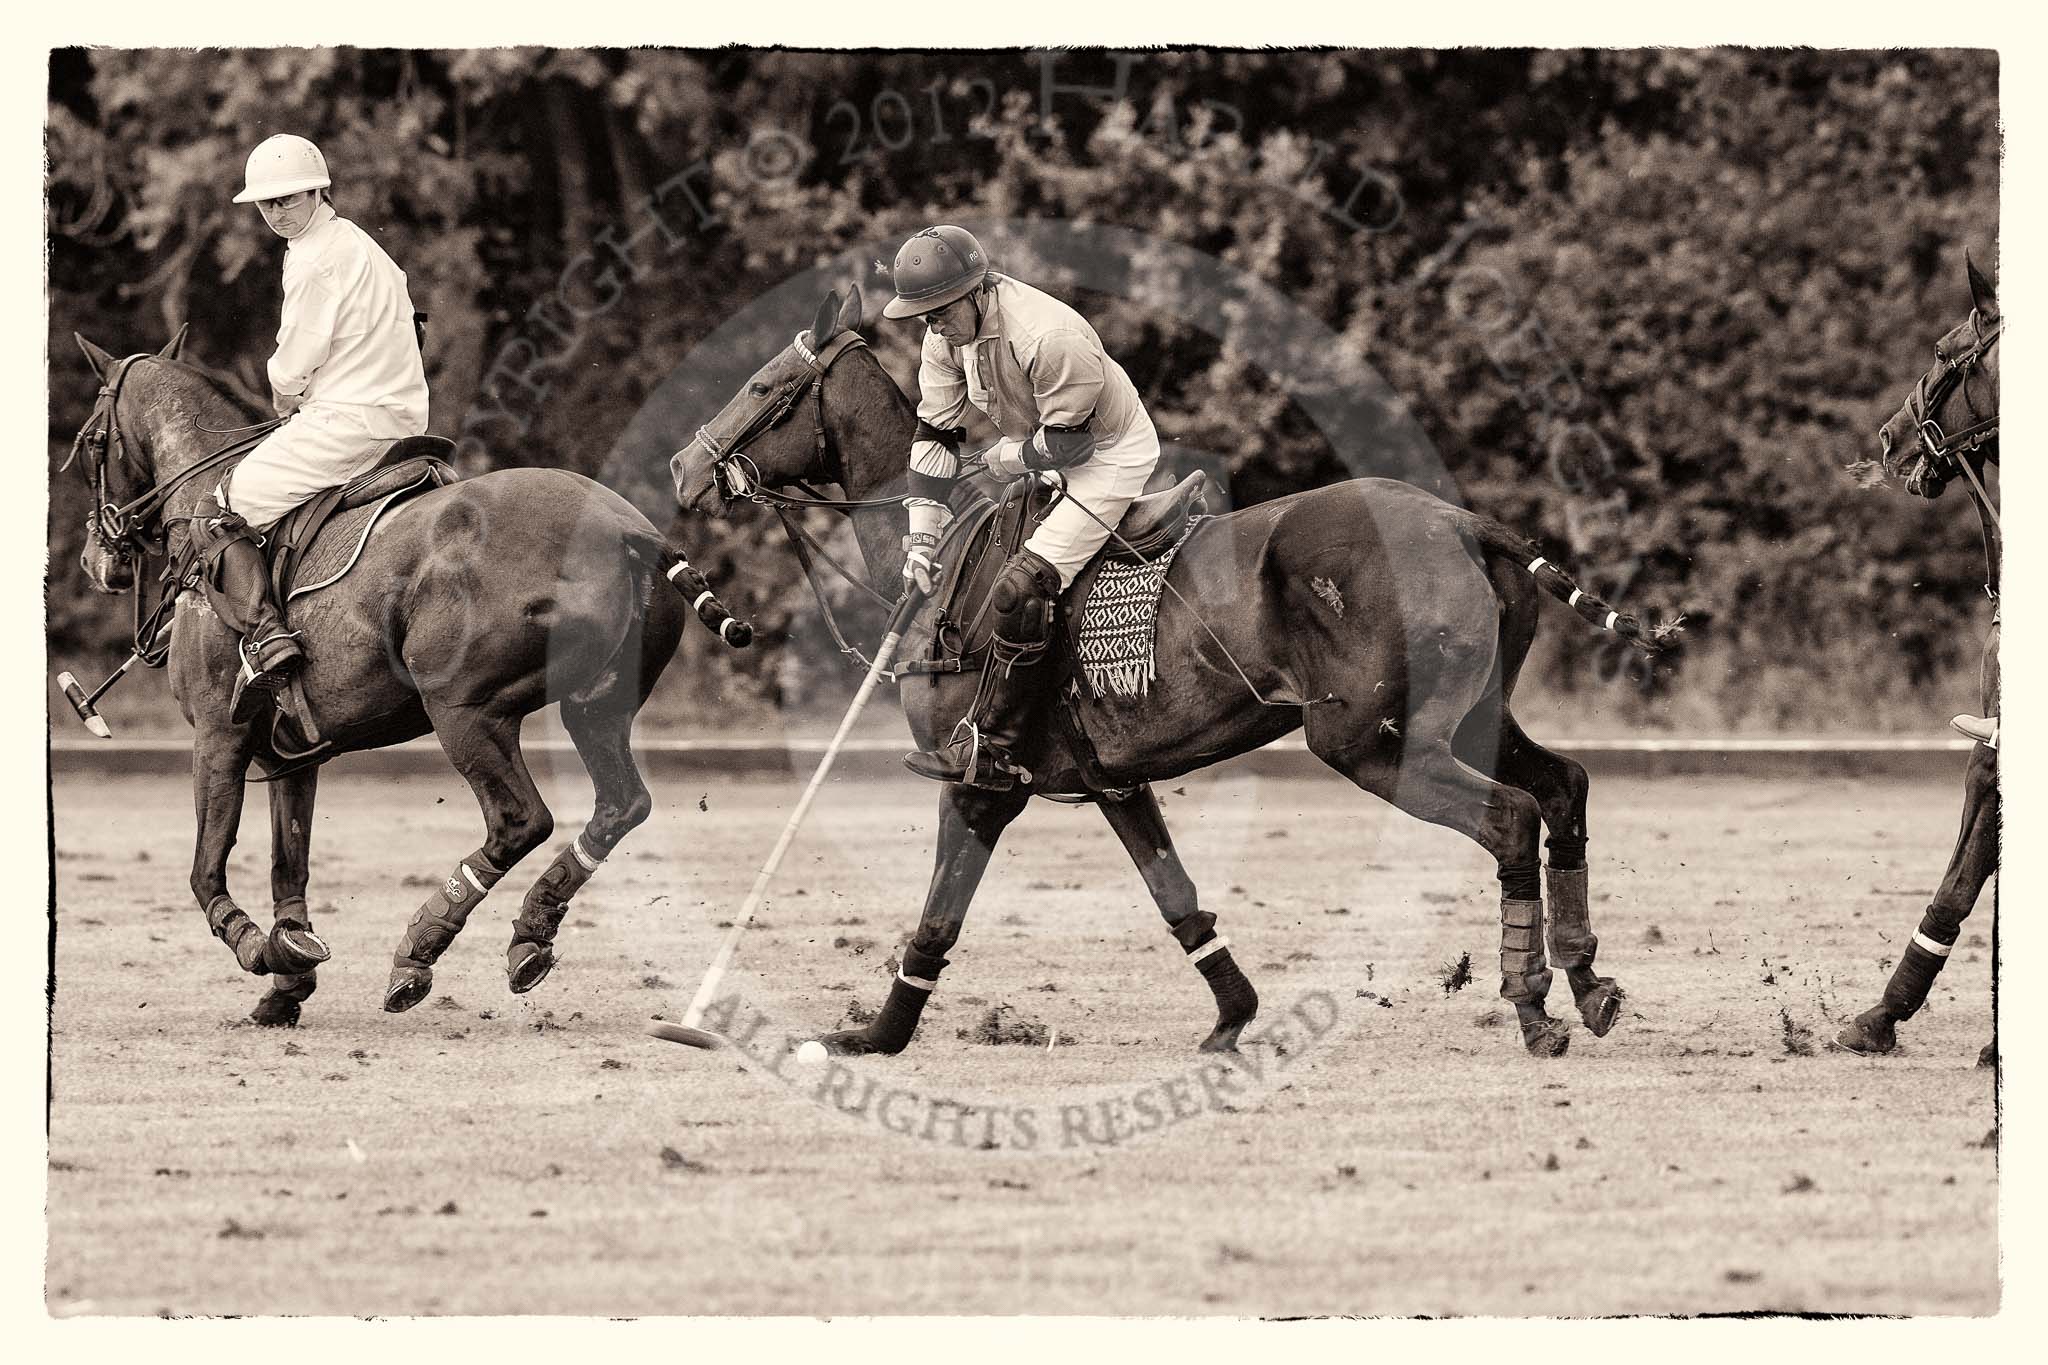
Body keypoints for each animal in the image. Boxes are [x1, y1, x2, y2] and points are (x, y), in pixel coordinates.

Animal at [66, 333, 753, 1023]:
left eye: (89, 440)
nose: (97, 560)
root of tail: (630, 530)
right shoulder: (289, 754)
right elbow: (290, 864)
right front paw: (287, 975)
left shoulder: (217, 735)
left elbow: (206, 870)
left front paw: (259, 950)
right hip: (596, 706)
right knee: (621, 805)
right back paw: (530, 933)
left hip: (464, 708)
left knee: (520, 821)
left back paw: (419, 949)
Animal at [675, 286, 1679, 1055]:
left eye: (762, 385)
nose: (685, 467)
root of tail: (1466, 521)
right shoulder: (1114, 779)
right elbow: (1178, 896)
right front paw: (1233, 1018)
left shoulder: (980, 781)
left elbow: (939, 913)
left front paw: (874, 1037)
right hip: (1472, 717)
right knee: (1564, 787)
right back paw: (1589, 981)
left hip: (1368, 740)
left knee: (1509, 817)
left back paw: (1533, 1007)